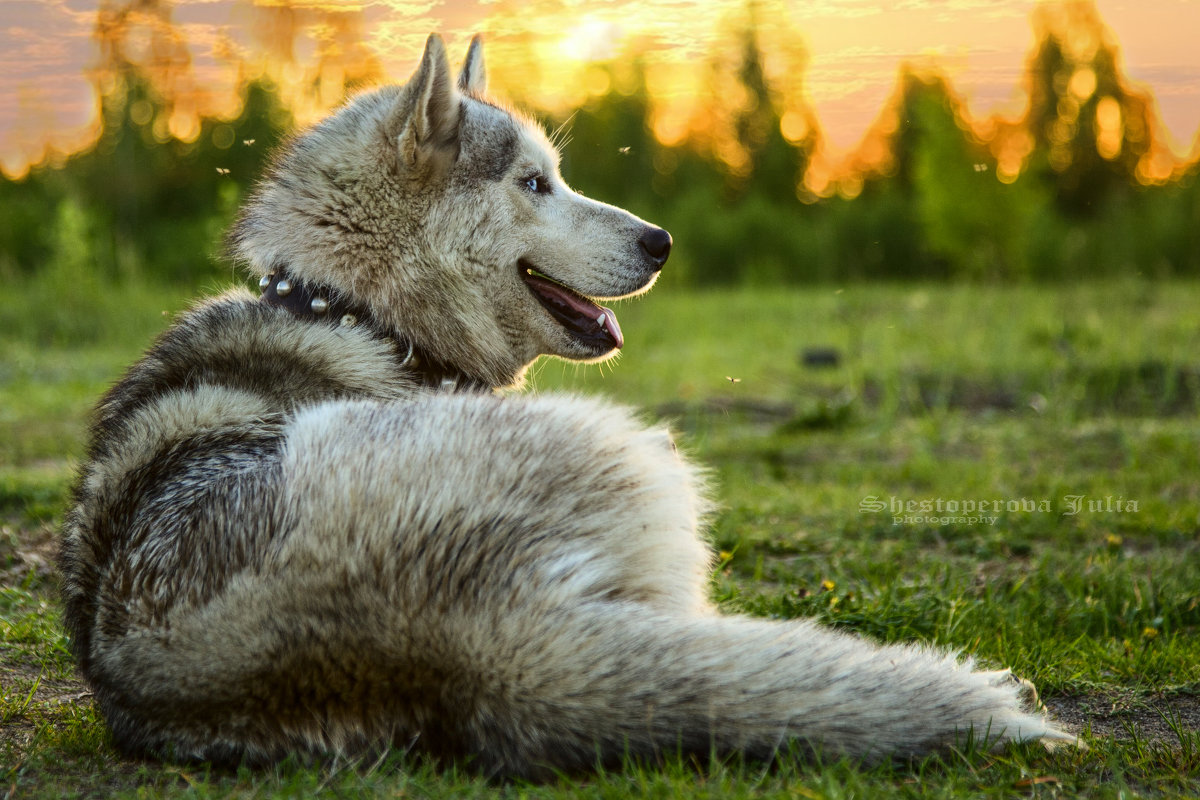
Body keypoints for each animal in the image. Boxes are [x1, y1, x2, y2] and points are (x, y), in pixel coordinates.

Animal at [58, 34, 1070, 777]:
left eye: (558, 174)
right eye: (534, 184)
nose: (663, 241)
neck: (362, 312)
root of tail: (446, 637)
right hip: (639, 456)